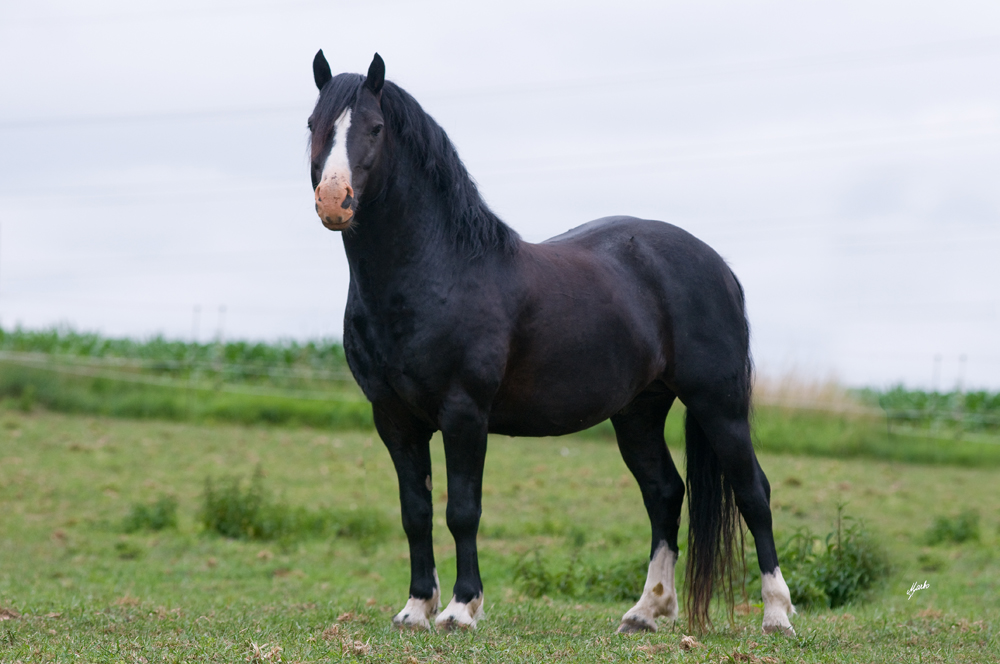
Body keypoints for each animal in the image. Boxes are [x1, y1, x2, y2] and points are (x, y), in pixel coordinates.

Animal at [308, 50, 792, 632]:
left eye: (375, 128)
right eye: (313, 125)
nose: (334, 201)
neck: (437, 271)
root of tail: (717, 265)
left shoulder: (464, 412)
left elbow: (462, 510)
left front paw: (462, 609)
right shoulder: (394, 418)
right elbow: (415, 512)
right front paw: (416, 608)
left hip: (719, 403)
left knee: (753, 492)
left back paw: (777, 614)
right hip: (638, 412)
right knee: (664, 493)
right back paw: (646, 610)